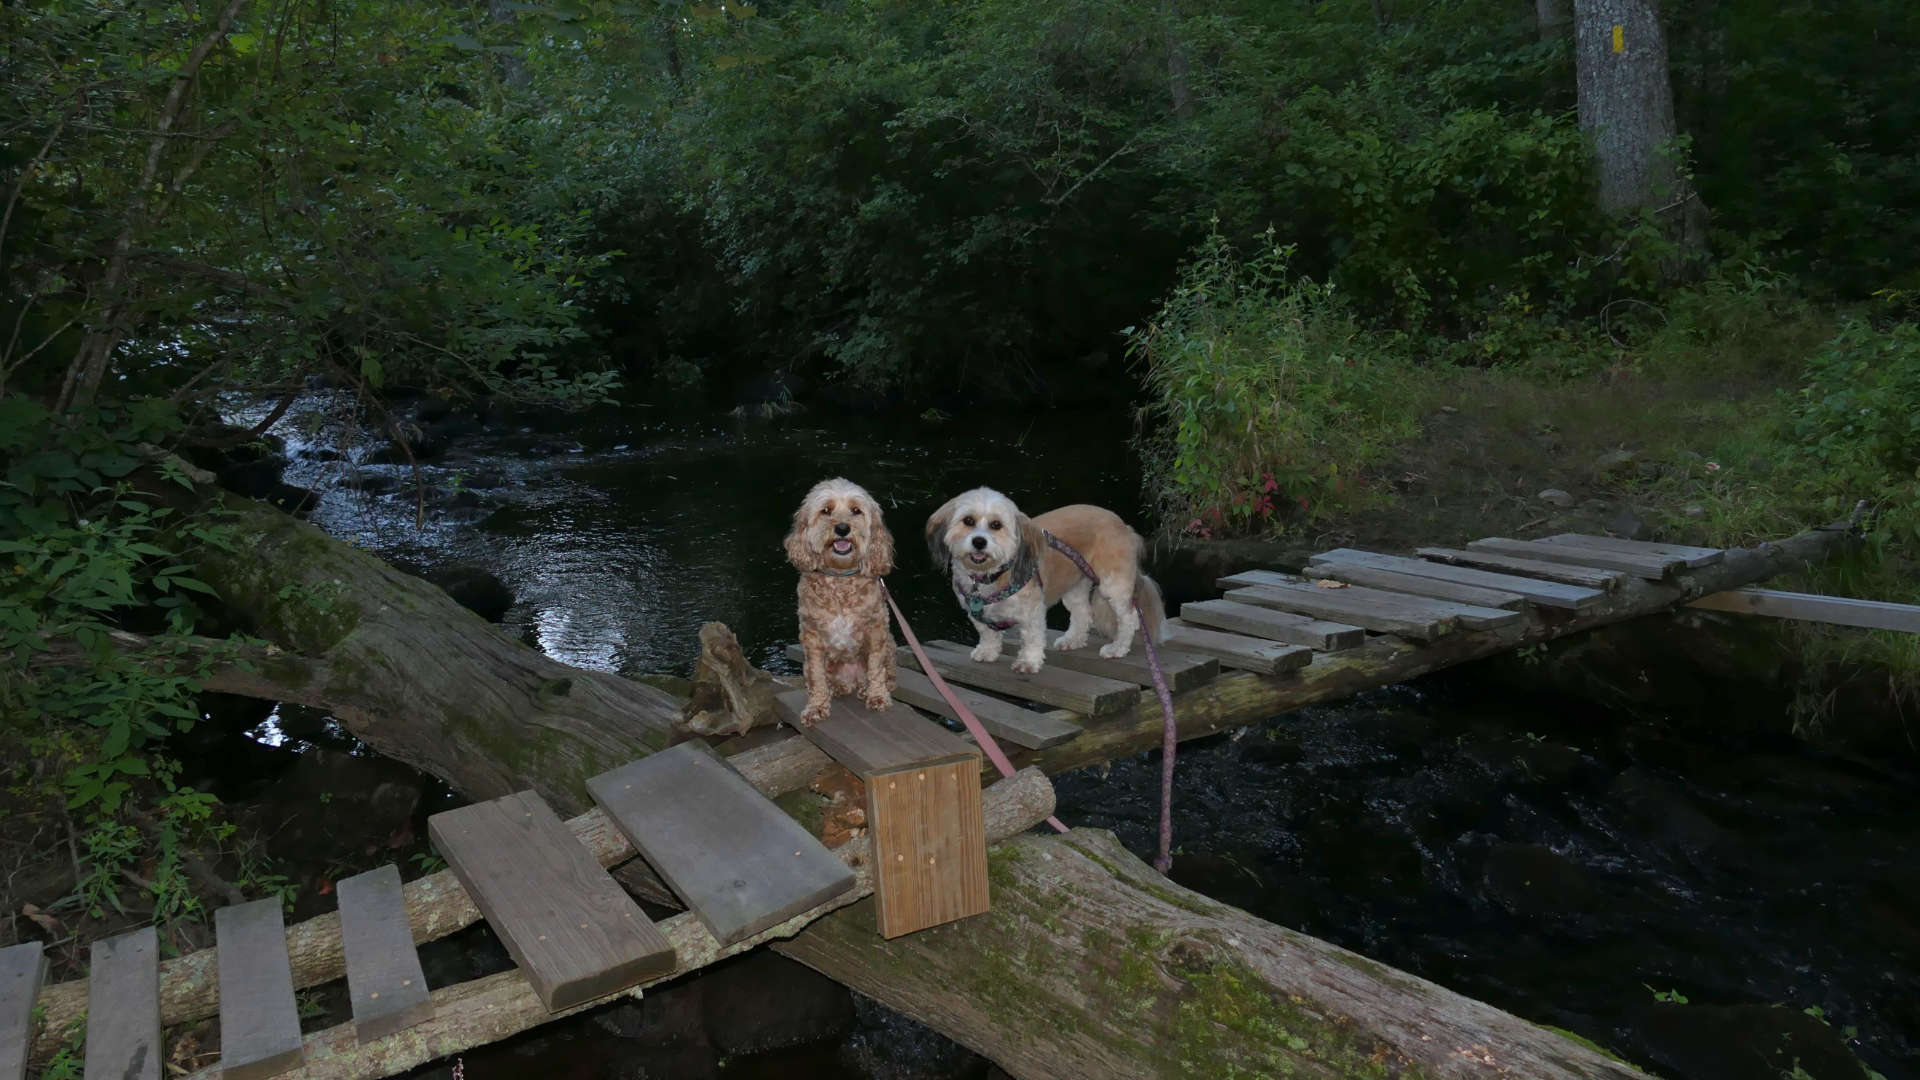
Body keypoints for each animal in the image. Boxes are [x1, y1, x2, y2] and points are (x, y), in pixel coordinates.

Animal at [921, 488, 1159, 672]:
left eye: (996, 525)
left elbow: (1032, 638)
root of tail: (1123, 526)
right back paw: (1072, 640)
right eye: (968, 521)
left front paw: (1028, 662)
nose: (979, 542)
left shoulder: (1032, 610)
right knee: (1083, 613)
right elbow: (987, 633)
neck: (989, 578)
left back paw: (1117, 648)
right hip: (1073, 585)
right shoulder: (976, 613)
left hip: (1113, 585)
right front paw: (987, 651)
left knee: (1129, 618)